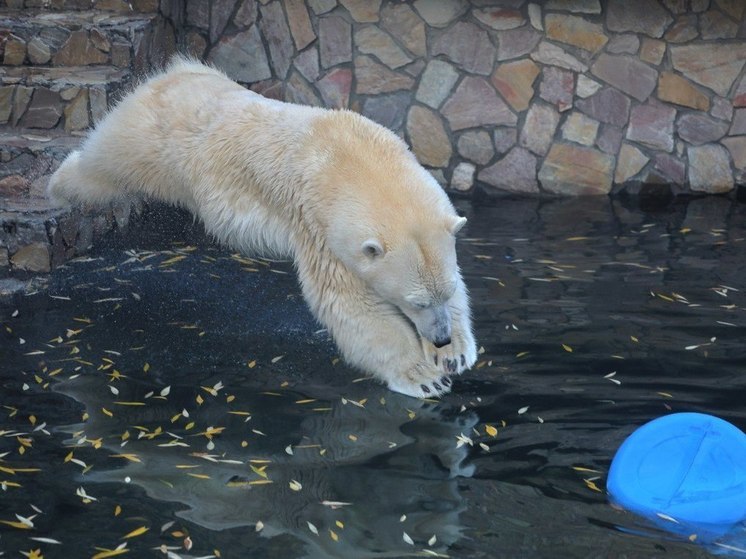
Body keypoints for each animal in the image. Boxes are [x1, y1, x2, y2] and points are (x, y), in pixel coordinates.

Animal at [48, 59, 476, 398]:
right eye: (416, 302)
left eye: (444, 293)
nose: (440, 336)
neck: (353, 158)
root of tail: (175, 73)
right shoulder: (319, 226)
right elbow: (354, 307)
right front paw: (424, 377)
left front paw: (454, 355)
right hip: (151, 142)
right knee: (102, 165)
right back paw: (56, 182)